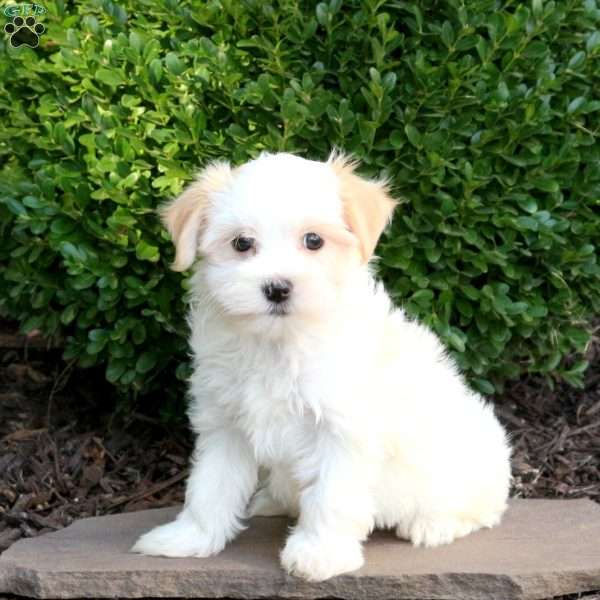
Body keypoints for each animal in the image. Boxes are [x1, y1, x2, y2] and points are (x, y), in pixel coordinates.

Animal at [132, 152, 510, 584]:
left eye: (314, 240)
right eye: (242, 243)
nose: (277, 288)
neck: (280, 342)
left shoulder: (342, 429)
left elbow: (331, 495)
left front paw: (319, 554)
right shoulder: (225, 424)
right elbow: (210, 486)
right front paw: (188, 538)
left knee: (480, 510)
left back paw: (434, 525)